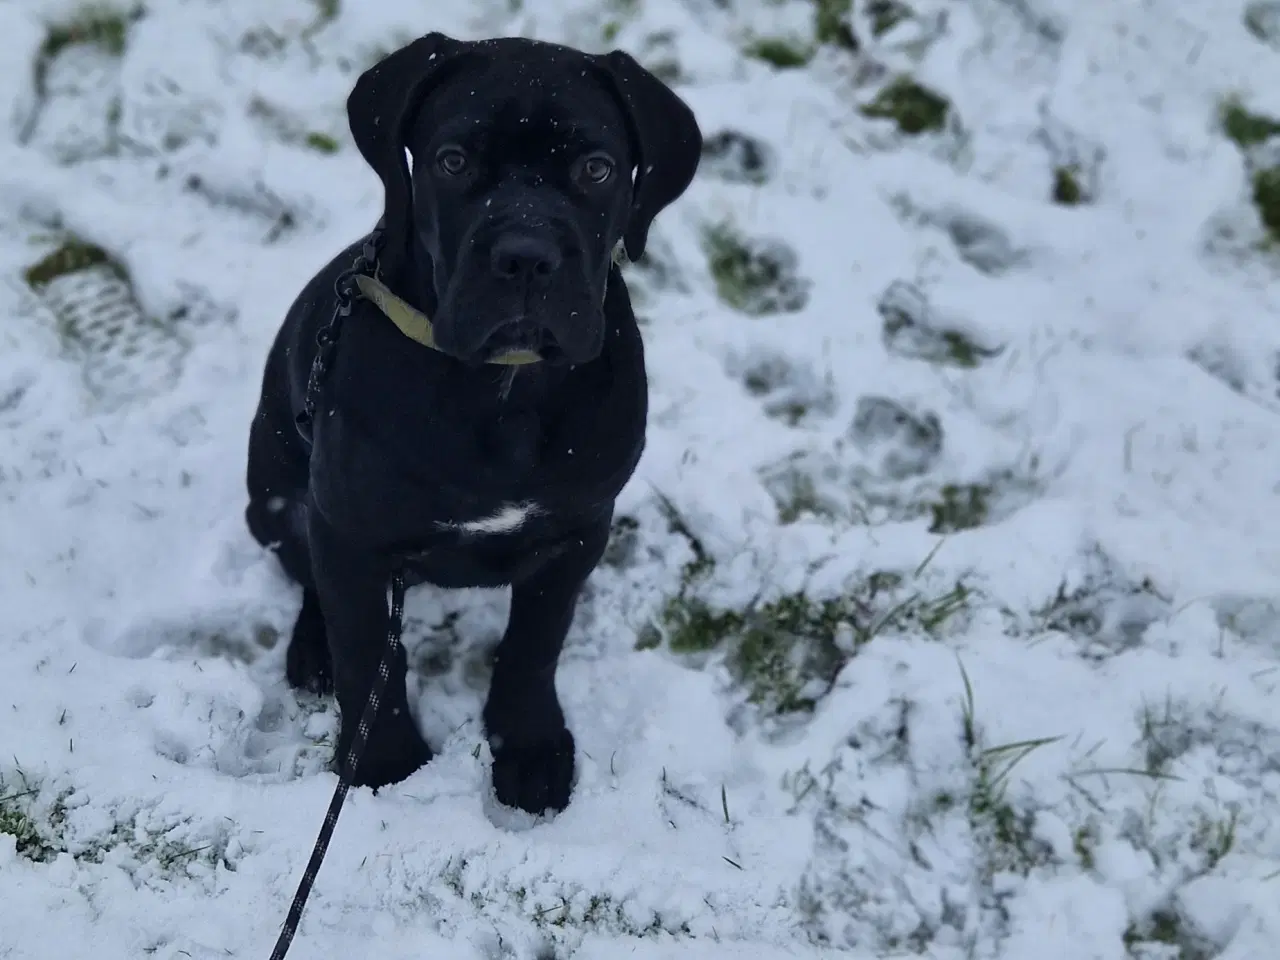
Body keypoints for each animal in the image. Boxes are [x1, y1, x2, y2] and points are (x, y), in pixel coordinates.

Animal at [244, 33, 706, 814]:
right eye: (453, 161)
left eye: (598, 168)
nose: (525, 257)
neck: (505, 388)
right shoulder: (350, 532)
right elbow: (366, 647)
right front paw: (385, 763)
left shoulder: (577, 530)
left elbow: (535, 644)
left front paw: (530, 748)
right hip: (273, 500)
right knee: (308, 576)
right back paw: (313, 652)